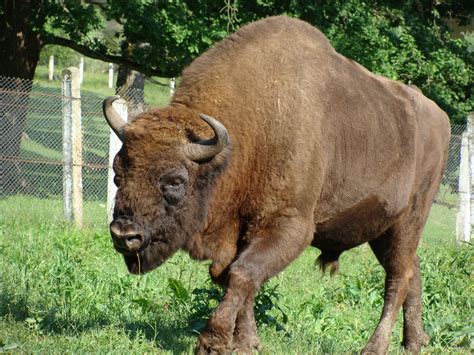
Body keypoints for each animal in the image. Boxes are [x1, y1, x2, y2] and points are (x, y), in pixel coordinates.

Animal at [102, 16, 450, 354]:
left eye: (176, 181)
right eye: (117, 174)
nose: (124, 234)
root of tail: (442, 117)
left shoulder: (290, 227)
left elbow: (243, 274)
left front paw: (214, 343)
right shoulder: (241, 232)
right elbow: (233, 278)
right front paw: (247, 342)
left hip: (408, 221)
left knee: (397, 279)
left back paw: (375, 347)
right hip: (384, 229)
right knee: (412, 271)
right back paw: (415, 341)